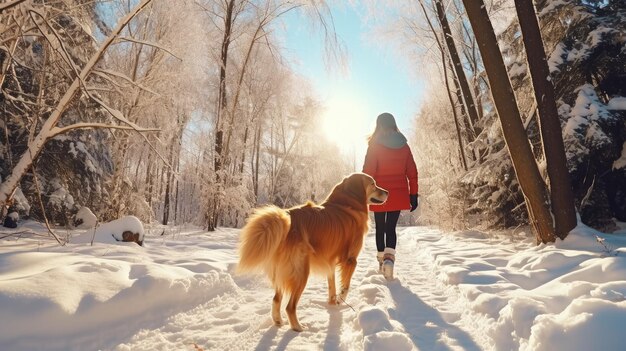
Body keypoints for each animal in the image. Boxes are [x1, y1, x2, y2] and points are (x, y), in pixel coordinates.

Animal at [238, 173, 388, 332]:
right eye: (373, 184)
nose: (387, 192)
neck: (347, 204)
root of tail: (287, 216)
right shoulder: (351, 259)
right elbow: (345, 286)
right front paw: (341, 300)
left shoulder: (330, 262)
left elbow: (332, 285)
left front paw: (332, 303)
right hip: (302, 272)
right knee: (290, 307)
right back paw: (298, 327)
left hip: (280, 271)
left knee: (276, 299)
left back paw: (278, 321)